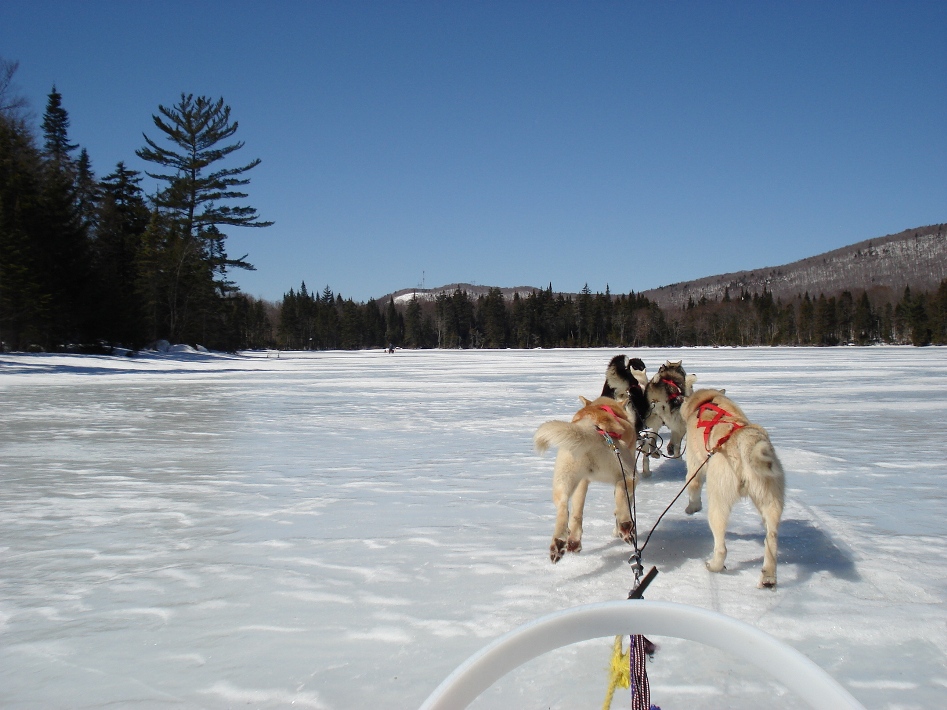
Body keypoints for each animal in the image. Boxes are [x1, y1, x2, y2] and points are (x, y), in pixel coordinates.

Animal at [536, 398, 640, 564]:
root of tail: (591, 428)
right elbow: (624, 499)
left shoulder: (583, 482)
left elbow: (577, 513)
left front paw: (573, 541)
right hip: (628, 472)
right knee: (620, 491)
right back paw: (625, 524)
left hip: (565, 481)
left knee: (564, 507)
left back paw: (560, 542)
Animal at [680, 390, 784, 588]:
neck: (707, 401)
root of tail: (744, 442)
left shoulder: (694, 463)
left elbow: (693, 484)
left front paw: (692, 507)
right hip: (771, 502)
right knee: (771, 539)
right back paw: (768, 576)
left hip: (718, 504)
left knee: (721, 547)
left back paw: (714, 565)